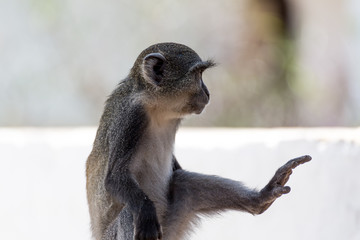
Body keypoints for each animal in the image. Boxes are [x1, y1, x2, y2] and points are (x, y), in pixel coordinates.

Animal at [86, 42, 310, 240]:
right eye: (198, 74)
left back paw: (259, 200)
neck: (154, 105)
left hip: (171, 227)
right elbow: (115, 177)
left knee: (185, 184)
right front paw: (144, 210)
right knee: (130, 212)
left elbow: (177, 171)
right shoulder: (131, 118)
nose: (208, 92)